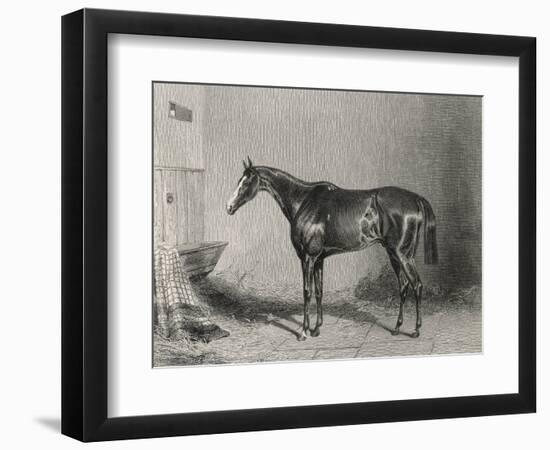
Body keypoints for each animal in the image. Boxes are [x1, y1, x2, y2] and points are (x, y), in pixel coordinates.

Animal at [225, 160, 440, 340]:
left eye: (245, 182)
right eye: (239, 181)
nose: (229, 207)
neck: (304, 201)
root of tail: (416, 199)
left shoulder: (307, 257)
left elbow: (307, 292)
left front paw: (303, 332)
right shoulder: (319, 258)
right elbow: (319, 291)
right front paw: (316, 329)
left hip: (402, 255)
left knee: (416, 285)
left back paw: (415, 330)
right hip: (396, 255)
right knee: (403, 286)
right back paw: (396, 328)